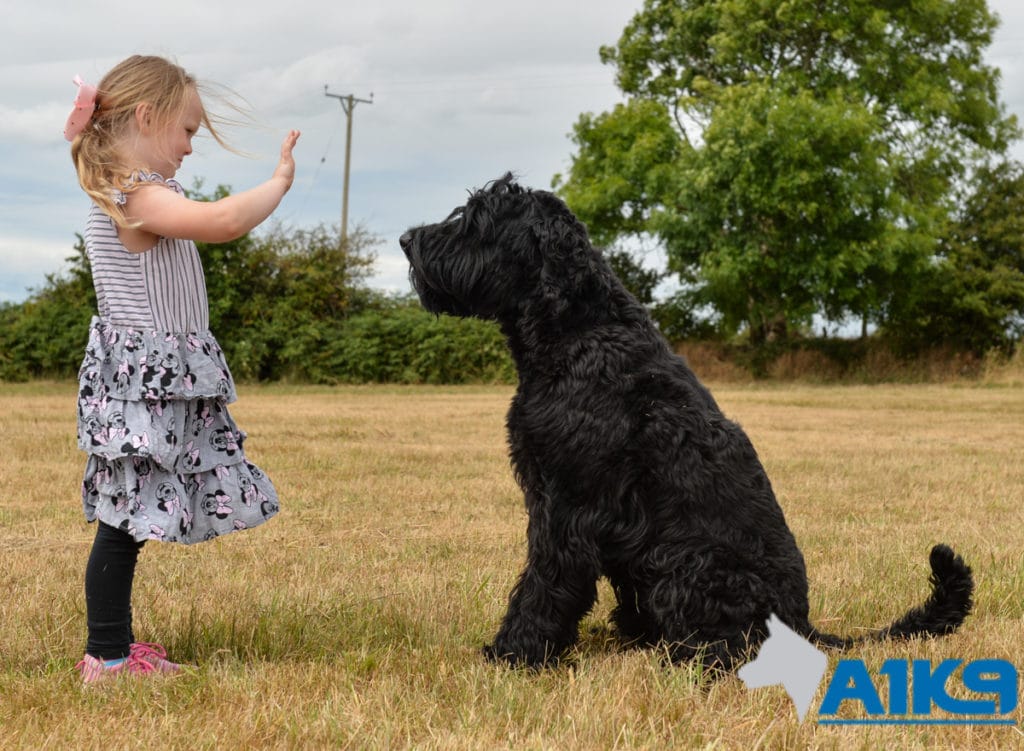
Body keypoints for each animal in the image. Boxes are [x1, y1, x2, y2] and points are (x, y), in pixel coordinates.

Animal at [395, 174, 970, 668]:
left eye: (476, 219)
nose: (404, 240)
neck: (580, 332)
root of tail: (803, 625)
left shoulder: (567, 504)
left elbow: (546, 582)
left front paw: (516, 652)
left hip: (684, 562)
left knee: (728, 644)